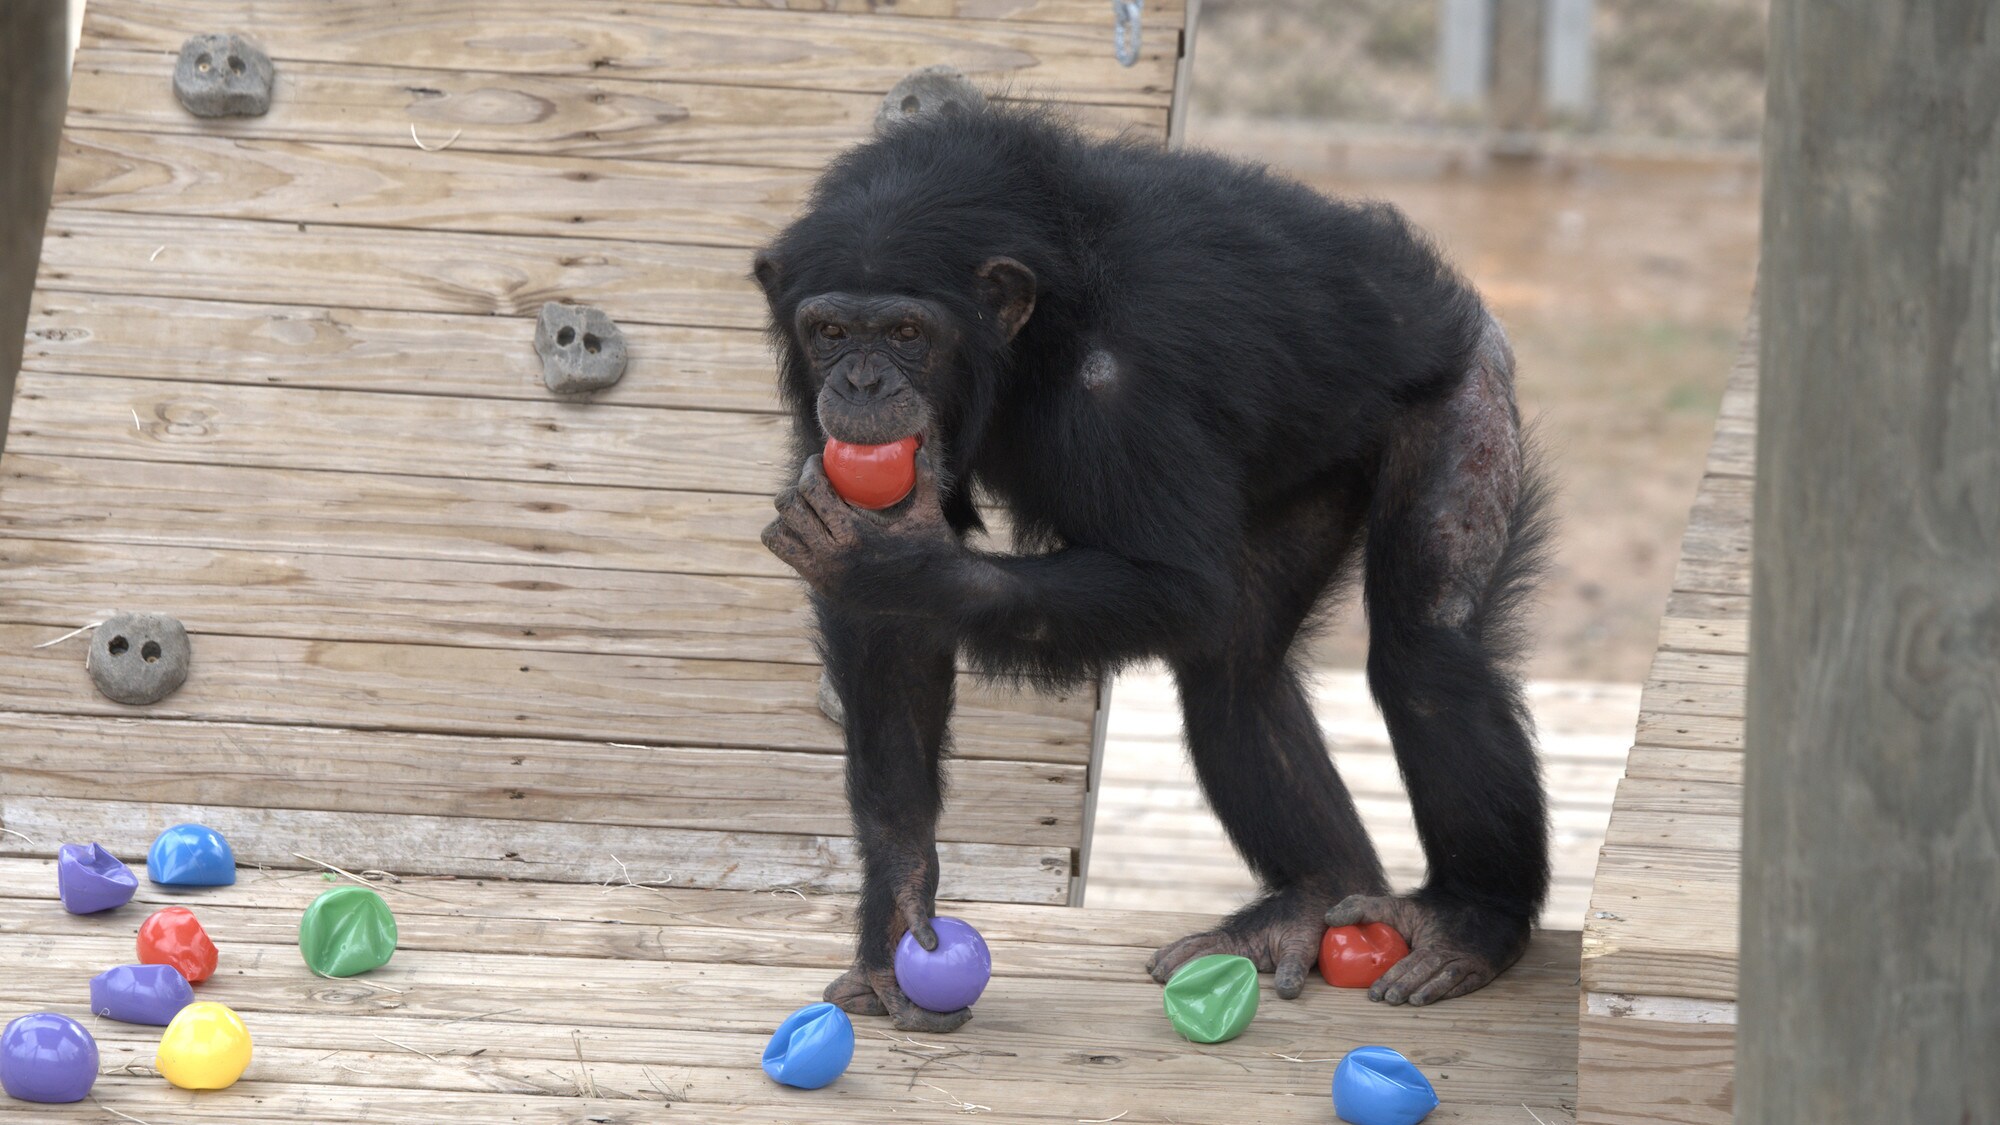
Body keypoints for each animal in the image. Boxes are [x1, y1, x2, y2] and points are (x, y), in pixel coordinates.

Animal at [756, 109, 1552, 1032]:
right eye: (830, 332)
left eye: (906, 334)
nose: (859, 381)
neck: (1034, 331)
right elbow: (890, 641)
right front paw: (897, 913)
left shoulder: (1123, 386)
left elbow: (1176, 584)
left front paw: (892, 558)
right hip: (1312, 469)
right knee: (1235, 669)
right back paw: (1313, 895)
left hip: (1466, 390)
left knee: (1426, 648)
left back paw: (1472, 920)